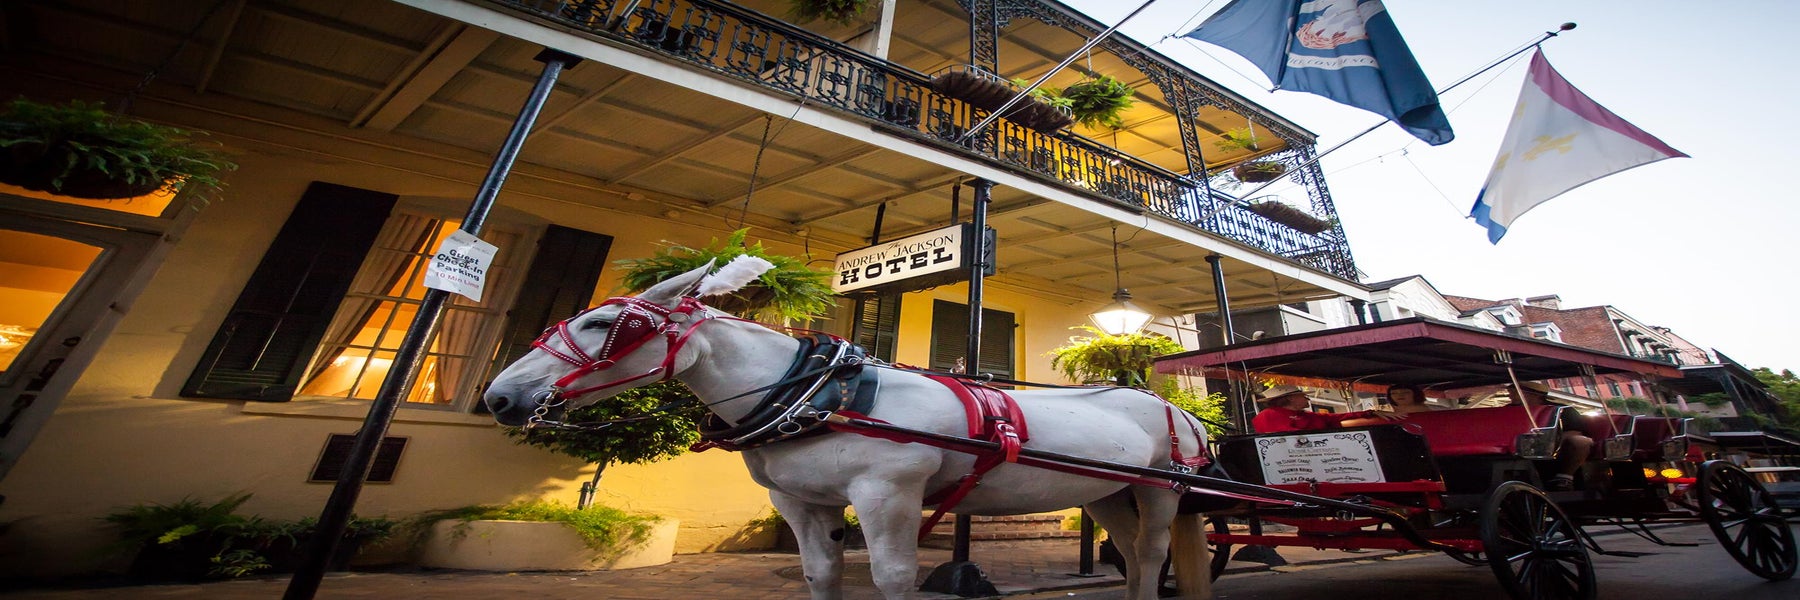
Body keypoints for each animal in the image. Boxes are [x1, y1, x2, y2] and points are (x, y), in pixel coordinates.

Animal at [482, 263, 1209, 598]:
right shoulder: (801, 503)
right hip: (1105, 492)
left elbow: (891, 577)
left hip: (1162, 487)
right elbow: (821, 573)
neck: (815, 395)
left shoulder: (888, 493)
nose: (500, 396)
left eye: (606, 325)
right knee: (1132, 553)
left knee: (1150, 552)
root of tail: (1171, 404)